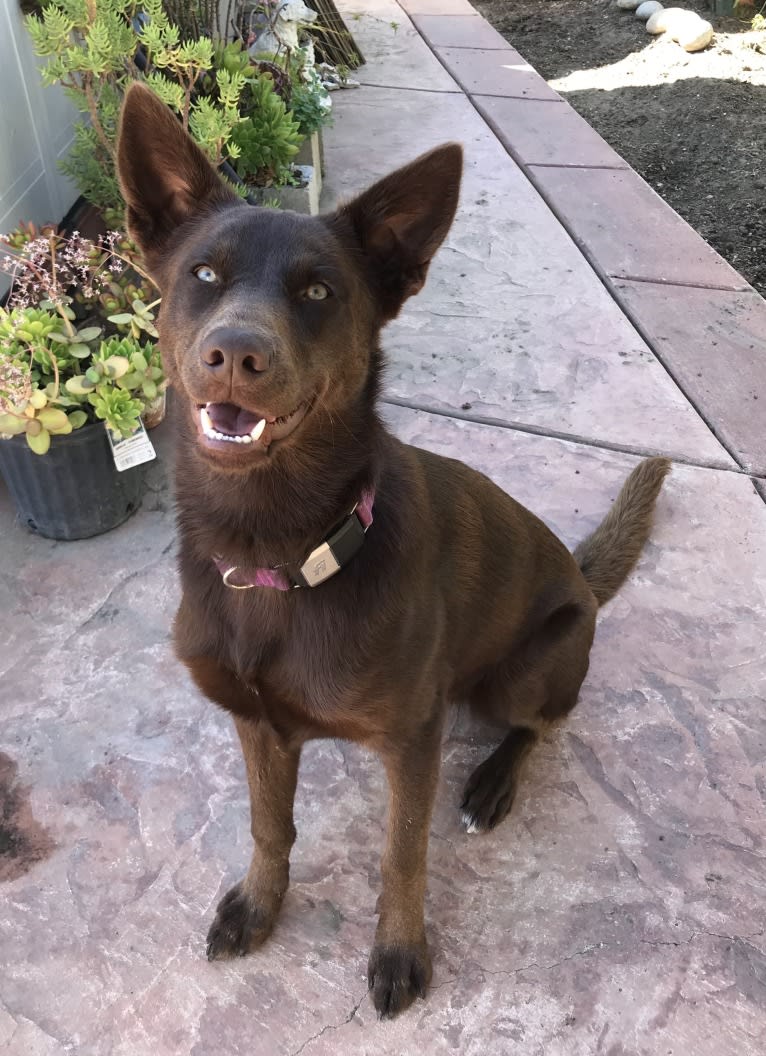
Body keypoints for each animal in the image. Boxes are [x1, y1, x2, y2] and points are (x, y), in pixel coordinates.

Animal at [116, 84, 667, 1022]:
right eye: (204, 275)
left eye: (317, 290)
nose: (236, 353)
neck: (278, 551)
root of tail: (584, 582)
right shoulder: (257, 724)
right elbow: (270, 825)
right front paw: (260, 903)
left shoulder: (413, 740)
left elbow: (401, 856)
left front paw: (401, 950)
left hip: (525, 668)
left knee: (543, 723)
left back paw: (493, 781)